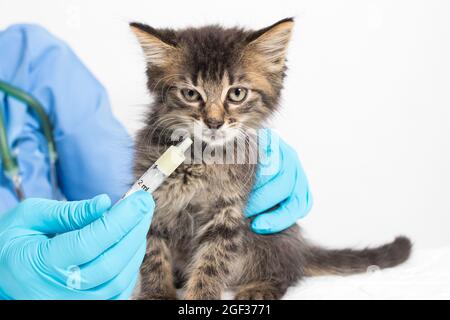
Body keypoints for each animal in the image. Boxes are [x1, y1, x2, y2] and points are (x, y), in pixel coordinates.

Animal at [130, 18, 412, 300]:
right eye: (190, 94)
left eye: (237, 94)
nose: (214, 122)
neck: (202, 157)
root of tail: (299, 247)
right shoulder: (154, 201)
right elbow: (152, 254)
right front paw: (156, 294)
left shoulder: (228, 211)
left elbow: (212, 261)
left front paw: (201, 297)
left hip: (271, 238)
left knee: (285, 273)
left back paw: (259, 288)